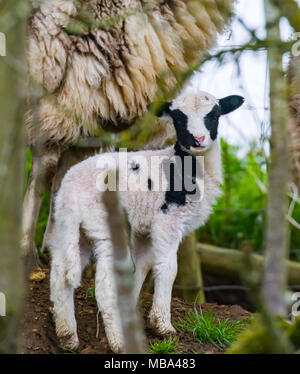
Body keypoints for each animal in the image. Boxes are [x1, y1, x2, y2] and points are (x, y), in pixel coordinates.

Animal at [22, 0, 236, 262]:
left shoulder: (88, 116)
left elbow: (66, 175)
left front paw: (56, 246)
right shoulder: (64, 97)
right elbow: (46, 171)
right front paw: (26, 249)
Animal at [48, 89, 244, 352]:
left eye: (214, 115)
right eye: (178, 119)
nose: (199, 139)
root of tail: (70, 192)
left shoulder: (143, 227)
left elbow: (140, 267)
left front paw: (132, 311)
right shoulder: (167, 220)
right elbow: (167, 269)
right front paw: (162, 326)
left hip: (71, 229)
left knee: (60, 276)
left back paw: (68, 337)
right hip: (104, 225)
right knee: (104, 285)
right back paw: (118, 341)